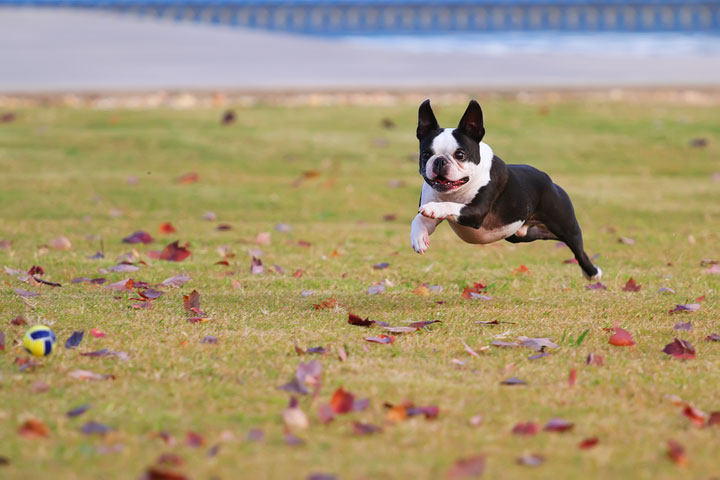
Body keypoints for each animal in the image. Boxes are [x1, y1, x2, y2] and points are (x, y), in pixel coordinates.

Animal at [410, 100, 600, 282]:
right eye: (425, 155)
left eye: (460, 155)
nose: (439, 161)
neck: (454, 192)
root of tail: (548, 179)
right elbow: (418, 219)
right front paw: (419, 238)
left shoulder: (476, 212)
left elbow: (450, 206)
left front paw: (434, 208)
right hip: (519, 234)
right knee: (543, 234)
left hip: (566, 225)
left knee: (578, 249)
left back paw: (592, 273)